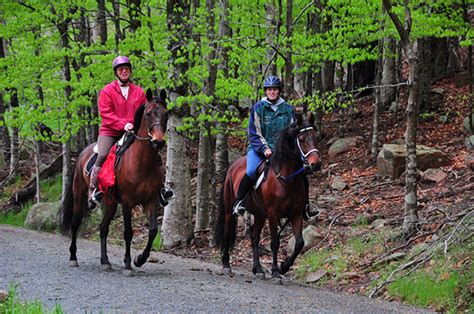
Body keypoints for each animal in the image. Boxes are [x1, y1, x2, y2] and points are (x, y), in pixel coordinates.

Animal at [61, 88, 168, 274]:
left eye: (166, 114)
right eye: (148, 113)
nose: (158, 141)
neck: (142, 163)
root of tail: (82, 153)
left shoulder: (151, 201)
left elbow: (153, 230)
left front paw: (140, 259)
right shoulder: (127, 202)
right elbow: (128, 232)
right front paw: (128, 264)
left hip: (111, 202)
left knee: (103, 228)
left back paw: (105, 261)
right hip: (79, 196)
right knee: (75, 223)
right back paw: (73, 258)